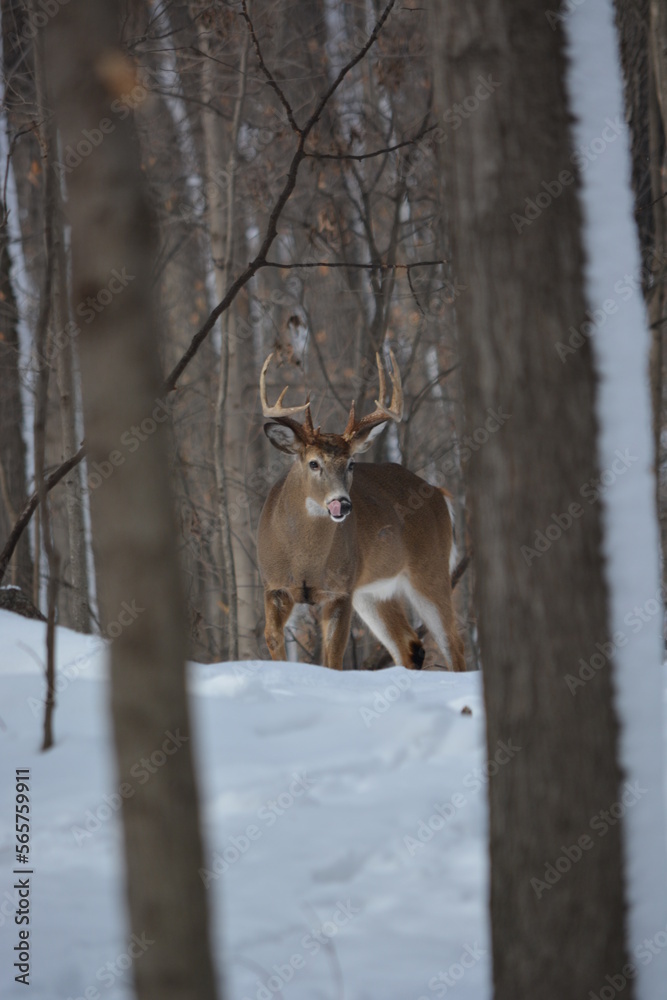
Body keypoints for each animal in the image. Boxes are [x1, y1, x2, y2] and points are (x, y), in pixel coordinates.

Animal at [257, 350, 466, 672]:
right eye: (313, 463)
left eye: (351, 463)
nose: (341, 503)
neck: (304, 557)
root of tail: (439, 494)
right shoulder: (274, 586)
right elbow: (273, 641)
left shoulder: (341, 589)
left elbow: (333, 656)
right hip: (373, 592)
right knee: (410, 645)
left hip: (429, 569)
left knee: (453, 645)